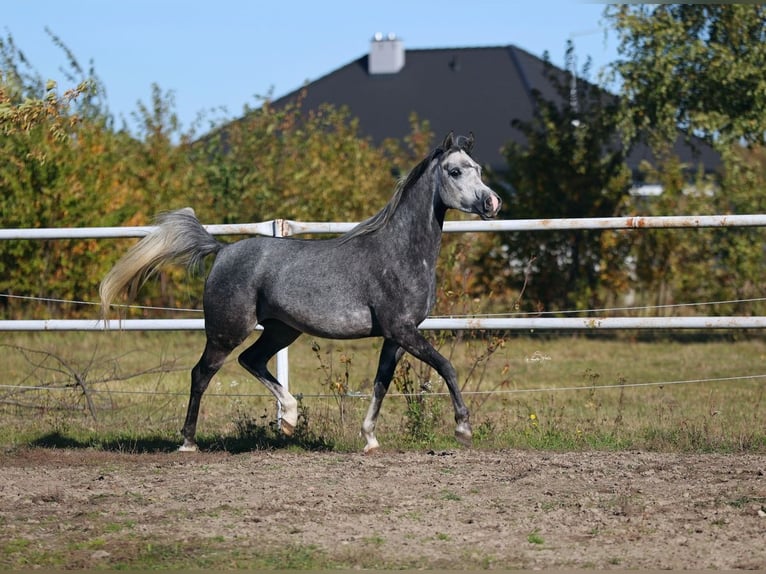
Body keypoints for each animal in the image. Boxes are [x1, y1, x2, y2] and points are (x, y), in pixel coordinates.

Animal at [100, 134, 504, 454]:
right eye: (455, 171)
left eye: (479, 168)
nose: (493, 203)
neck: (400, 251)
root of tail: (222, 250)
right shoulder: (403, 330)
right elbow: (447, 366)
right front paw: (463, 429)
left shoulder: (395, 336)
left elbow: (381, 384)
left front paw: (370, 439)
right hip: (226, 331)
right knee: (202, 373)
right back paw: (188, 442)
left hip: (282, 330)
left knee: (251, 361)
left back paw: (290, 419)